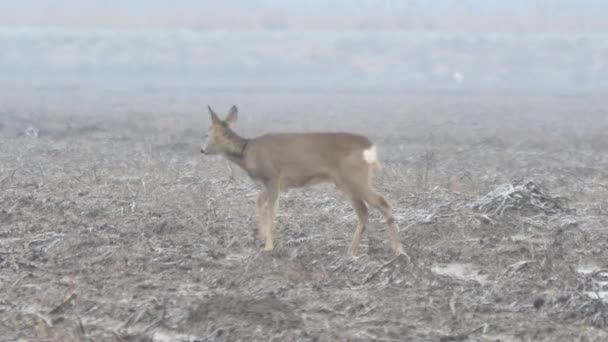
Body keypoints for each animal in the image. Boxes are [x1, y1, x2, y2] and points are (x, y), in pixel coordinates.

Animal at [202, 105, 406, 256]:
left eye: (209, 133)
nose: (202, 150)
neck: (247, 151)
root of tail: (370, 147)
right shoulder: (273, 183)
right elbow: (259, 201)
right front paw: (261, 238)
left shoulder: (273, 177)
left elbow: (271, 209)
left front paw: (268, 246)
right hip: (346, 182)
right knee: (364, 211)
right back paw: (351, 251)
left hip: (355, 178)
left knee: (382, 203)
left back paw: (398, 251)